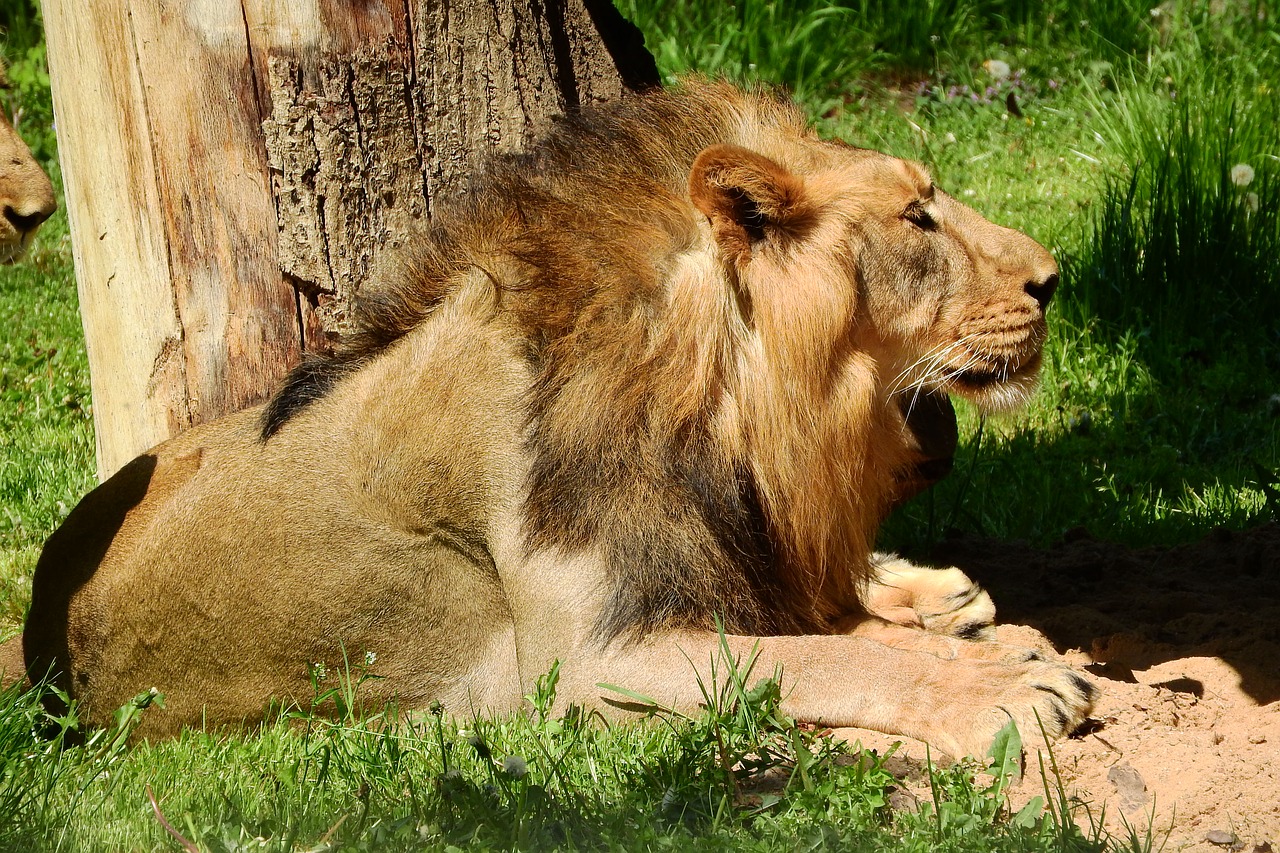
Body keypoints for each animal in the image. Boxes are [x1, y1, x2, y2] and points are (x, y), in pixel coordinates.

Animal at [7, 79, 1090, 753]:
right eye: (917, 216)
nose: (1049, 278)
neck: (730, 409)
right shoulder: (585, 666)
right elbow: (824, 661)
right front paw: (1007, 688)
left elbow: (821, 633)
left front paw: (960, 631)